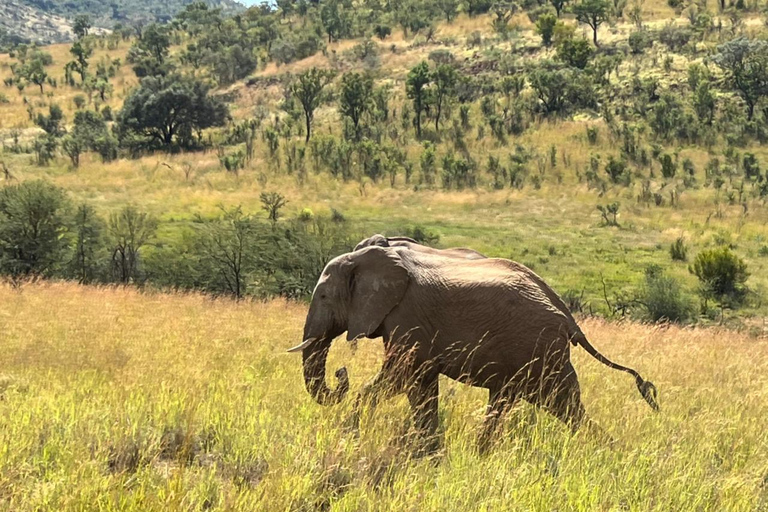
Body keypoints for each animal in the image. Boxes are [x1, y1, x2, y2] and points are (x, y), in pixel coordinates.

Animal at [290, 242, 660, 450]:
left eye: (323, 296)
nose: (340, 373)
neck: (370, 259)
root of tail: (568, 317)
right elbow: (422, 387)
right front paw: (429, 450)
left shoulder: (408, 318)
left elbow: (400, 377)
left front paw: (348, 434)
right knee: (548, 405)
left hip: (539, 349)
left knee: (562, 405)